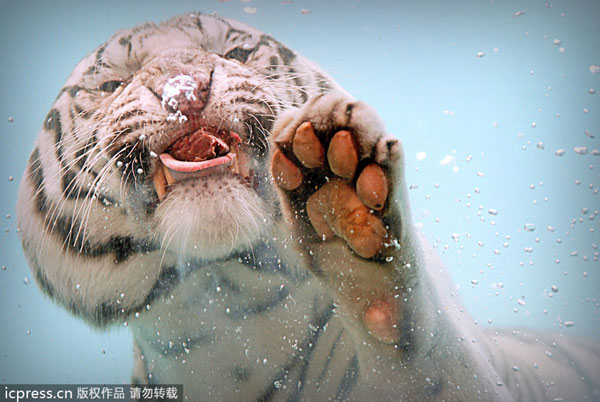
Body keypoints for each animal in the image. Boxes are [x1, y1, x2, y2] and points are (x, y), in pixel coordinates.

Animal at [15, 13, 600, 402]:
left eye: (237, 54)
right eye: (112, 83)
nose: (185, 89)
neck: (227, 324)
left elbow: (427, 357)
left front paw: (343, 195)